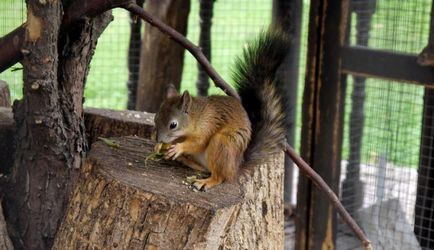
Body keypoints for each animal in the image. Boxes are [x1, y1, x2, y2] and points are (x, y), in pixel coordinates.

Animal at [154, 28, 290, 190]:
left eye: (173, 125)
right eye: (155, 118)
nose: (158, 139)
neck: (196, 117)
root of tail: (236, 168)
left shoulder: (208, 125)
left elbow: (198, 142)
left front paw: (178, 148)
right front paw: (161, 147)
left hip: (222, 144)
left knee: (220, 176)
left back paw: (206, 181)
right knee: (204, 168)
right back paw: (185, 161)